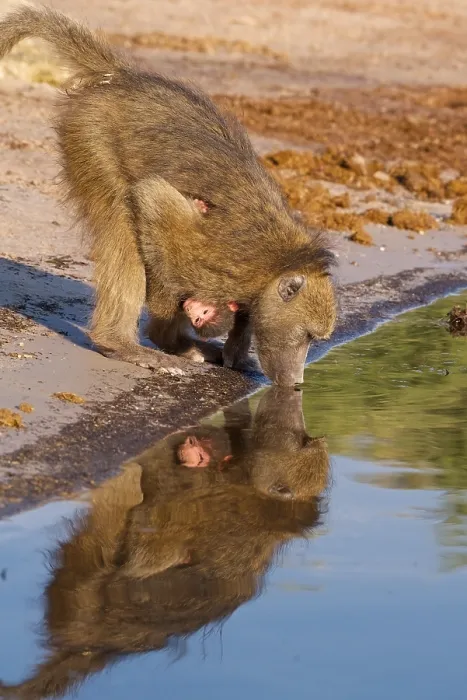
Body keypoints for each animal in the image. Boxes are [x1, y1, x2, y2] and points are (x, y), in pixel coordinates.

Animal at [0, 5, 337, 385]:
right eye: (308, 335)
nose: (296, 382)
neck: (277, 264)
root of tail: (122, 79)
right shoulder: (219, 264)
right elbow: (153, 200)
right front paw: (173, 339)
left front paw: (235, 350)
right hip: (91, 134)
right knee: (123, 224)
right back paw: (121, 343)